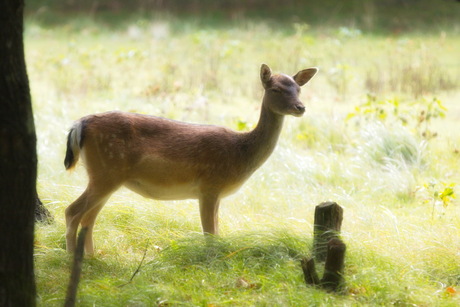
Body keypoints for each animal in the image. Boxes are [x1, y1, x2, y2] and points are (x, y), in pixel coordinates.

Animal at [63, 64, 316, 255]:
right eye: (275, 89)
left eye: (298, 89)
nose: (301, 107)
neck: (241, 154)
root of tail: (79, 124)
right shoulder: (209, 185)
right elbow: (210, 232)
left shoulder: (217, 193)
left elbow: (217, 231)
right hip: (106, 171)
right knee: (72, 212)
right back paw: (70, 256)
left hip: (108, 177)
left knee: (88, 218)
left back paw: (92, 257)